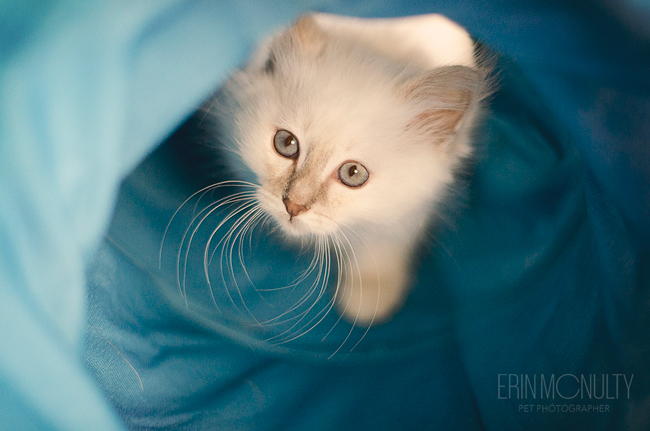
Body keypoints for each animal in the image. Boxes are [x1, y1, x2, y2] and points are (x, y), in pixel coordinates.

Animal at [205, 12, 488, 324]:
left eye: (353, 174)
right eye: (286, 143)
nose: (293, 206)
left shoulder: (408, 213)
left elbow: (380, 251)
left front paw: (368, 300)